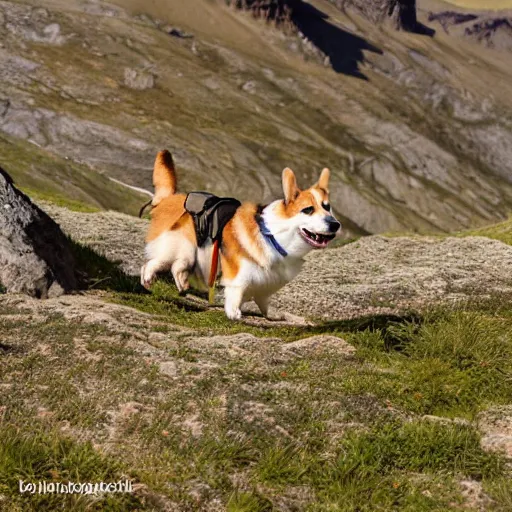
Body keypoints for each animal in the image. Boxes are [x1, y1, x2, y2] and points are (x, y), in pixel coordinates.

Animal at [141, 150, 340, 320]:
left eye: (327, 207)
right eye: (308, 210)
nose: (335, 225)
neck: (272, 236)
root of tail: (168, 198)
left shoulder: (266, 284)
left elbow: (263, 301)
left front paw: (272, 315)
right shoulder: (239, 274)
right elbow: (236, 292)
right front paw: (234, 313)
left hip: (189, 254)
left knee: (177, 267)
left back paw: (182, 284)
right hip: (177, 248)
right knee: (152, 264)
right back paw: (147, 280)